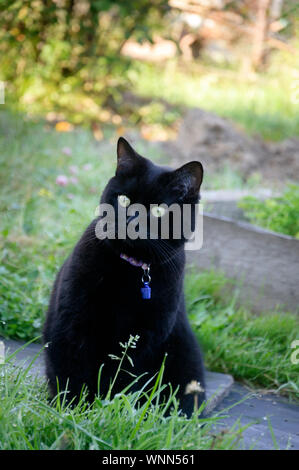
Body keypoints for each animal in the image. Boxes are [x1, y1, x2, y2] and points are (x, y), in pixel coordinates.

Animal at [42, 138, 206, 416]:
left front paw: (108, 411)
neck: (130, 271)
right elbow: (74, 373)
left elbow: (121, 379)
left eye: (159, 211)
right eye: (125, 200)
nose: (131, 219)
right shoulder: (74, 322)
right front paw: (74, 411)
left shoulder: (142, 341)